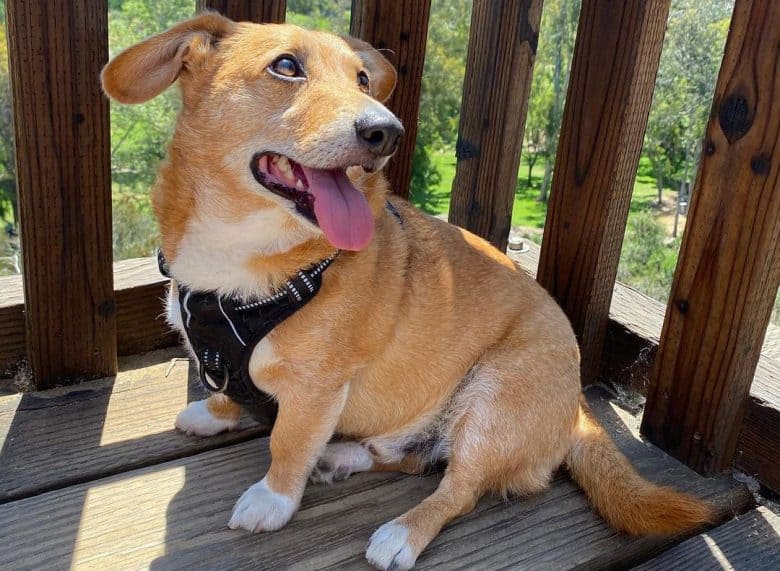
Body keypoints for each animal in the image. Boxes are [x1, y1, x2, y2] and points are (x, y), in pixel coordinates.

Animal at [103, 14, 712, 571]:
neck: (240, 260)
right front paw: (215, 412)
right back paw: (344, 456)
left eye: (363, 80)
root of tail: (577, 410)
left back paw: (400, 533)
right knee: (411, 457)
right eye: (286, 66)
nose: (387, 131)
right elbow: (231, 389)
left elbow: (288, 445)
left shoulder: (317, 390)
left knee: (458, 490)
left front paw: (272, 500)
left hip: (493, 399)